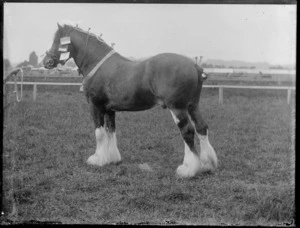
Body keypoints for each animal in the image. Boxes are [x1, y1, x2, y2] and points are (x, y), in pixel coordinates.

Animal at [42, 22, 218, 178]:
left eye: (58, 40)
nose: (47, 62)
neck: (98, 64)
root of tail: (194, 66)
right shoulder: (109, 110)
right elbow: (110, 131)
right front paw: (112, 159)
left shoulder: (95, 106)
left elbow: (99, 133)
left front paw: (97, 160)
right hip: (193, 105)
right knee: (201, 128)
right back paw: (207, 165)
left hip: (178, 108)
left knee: (187, 132)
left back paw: (188, 169)